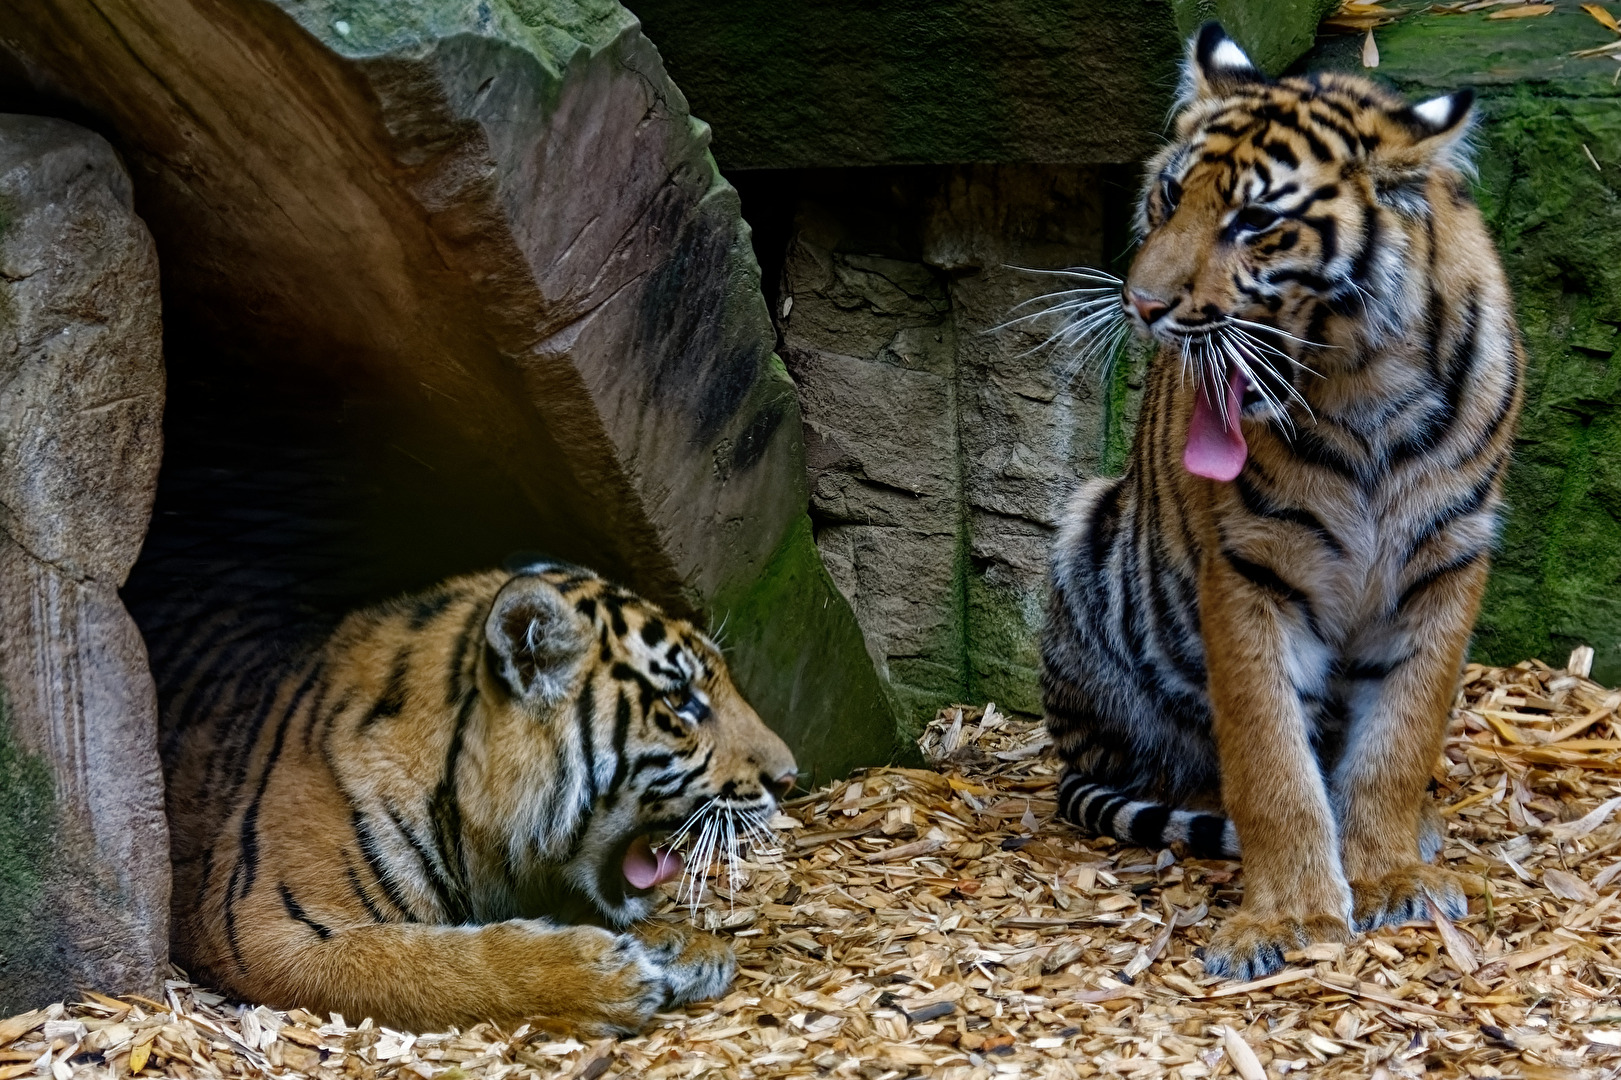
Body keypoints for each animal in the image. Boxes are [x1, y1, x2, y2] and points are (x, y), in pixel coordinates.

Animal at [150, 562, 798, 1034]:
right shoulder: (265, 927)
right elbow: (426, 963)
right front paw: (602, 977)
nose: (788, 778)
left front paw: (685, 946)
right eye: (681, 702)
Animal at [1036, 23, 1523, 979]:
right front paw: (1290, 917)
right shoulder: (1249, 573)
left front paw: (1387, 876)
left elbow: (1397, 739)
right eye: (1168, 194)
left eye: (1254, 223)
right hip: (1086, 531)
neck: (1362, 390)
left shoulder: (1445, 564)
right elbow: (1269, 763)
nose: (1141, 304)